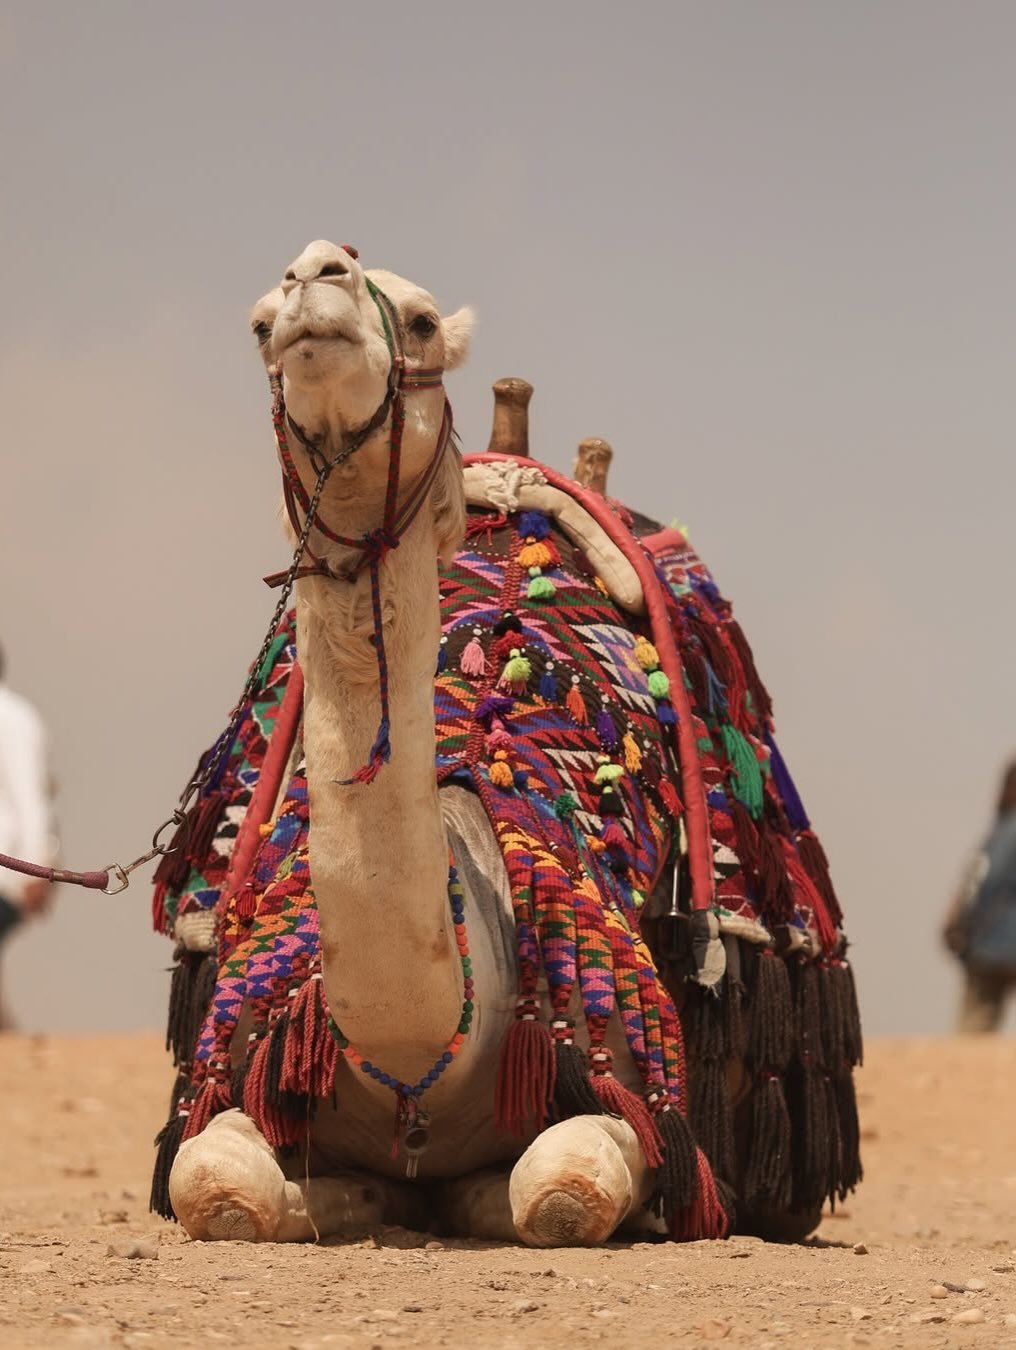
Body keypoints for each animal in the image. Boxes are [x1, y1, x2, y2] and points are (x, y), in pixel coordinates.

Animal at [162, 240, 859, 1247]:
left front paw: (482, 1193)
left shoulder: (626, 1077)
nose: (316, 274)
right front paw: (346, 1197)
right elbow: (215, 1187)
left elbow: (559, 1193)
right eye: (261, 325)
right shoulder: (254, 1053)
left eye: (420, 320)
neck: (428, 1048)